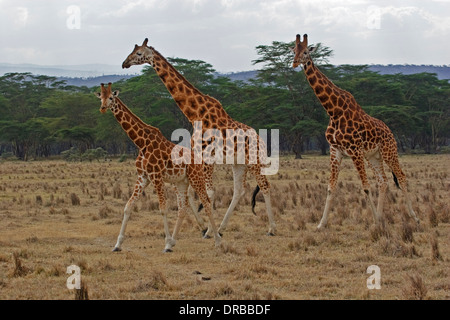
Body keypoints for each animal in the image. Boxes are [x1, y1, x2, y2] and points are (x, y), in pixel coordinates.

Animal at [96, 81, 221, 251]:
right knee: (182, 208)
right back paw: (177, 241)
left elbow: (162, 209)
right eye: (100, 97)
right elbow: (128, 206)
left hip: (196, 178)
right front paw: (117, 244)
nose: (102, 108)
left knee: (206, 202)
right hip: (182, 182)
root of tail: (199, 159)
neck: (141, 143)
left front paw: (166, 242)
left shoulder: (156, 176)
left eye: (110, 97)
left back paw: (217, 239)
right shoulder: (143, 177)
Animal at [121, 38, 276, 236]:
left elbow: (208, 193)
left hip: (254, 160)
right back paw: (222, 227)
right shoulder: (198, 156)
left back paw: (271, 228)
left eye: (139, 53)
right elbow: (191, 192)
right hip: (238, 163)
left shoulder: (207, 156)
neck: (195, 114)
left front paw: (208, 230)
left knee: (265, 186)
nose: (124, 63)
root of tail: (262, 141)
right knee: (239, 191)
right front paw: (204, 227)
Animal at [290, 34, 420, 230]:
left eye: (305, 51)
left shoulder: (355, 151)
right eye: (293, 51)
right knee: (383, 182)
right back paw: (381, 218)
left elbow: (365, 187)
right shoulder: (335, 150)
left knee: (402, 177)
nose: (295, 63)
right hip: (373, 156)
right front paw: (321, 224)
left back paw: (414, 217)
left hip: (389, 152)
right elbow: (331, 188)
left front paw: (374, 223)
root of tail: (390, 131)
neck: (333, 111)